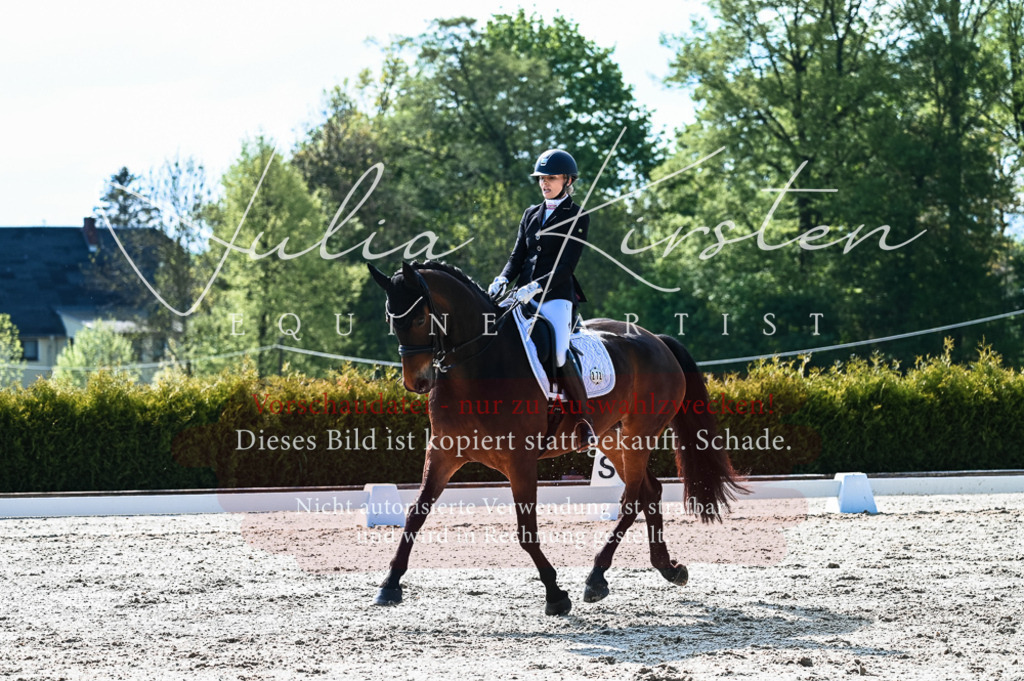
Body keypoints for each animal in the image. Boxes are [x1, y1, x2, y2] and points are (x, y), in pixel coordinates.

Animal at [367, 260, 746, 615]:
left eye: (419, 318)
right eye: (389, 319)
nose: (417, 382)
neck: (477, 365)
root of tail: (656, 340)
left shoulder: (520, 461)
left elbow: (526, 531)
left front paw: (555, 594)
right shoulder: (444, 453)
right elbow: (415, 515)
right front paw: (390, 585)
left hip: (639, 435)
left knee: (631, 500)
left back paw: (596, 577)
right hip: (612, 438)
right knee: (649, 492)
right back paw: (667, 568)